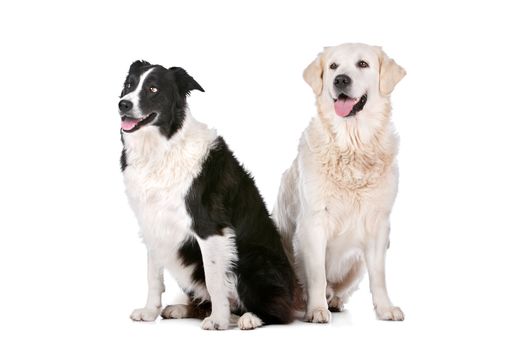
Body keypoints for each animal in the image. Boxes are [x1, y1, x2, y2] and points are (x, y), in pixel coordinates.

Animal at [118, 61, 294, 330]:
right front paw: (149, 312)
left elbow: (214, 279)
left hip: (251, 258)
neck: (161, 148)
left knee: (279, 311)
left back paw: (249, 317)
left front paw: (218, 320)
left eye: (153, 89)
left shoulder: (210, 227)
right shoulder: (153, 224)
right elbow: (153, 276)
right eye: (129, 85)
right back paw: (184, 309)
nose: (123, 104)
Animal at [274, 43, 406, 322]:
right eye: (333, 66)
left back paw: (334, 300)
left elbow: (379, 275)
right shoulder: (313, 222)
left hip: (357, 264)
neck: (351, 146)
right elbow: (316, 275)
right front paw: (316, 310)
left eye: (363, 64)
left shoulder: (379, 224)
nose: (341, 80)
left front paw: (385, 308)